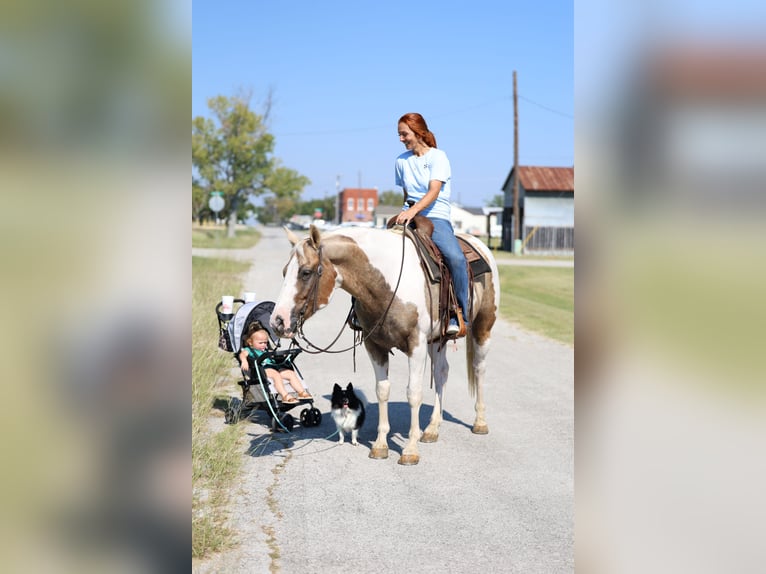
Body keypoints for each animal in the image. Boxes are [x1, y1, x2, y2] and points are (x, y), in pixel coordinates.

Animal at [270, 224, 499, 465]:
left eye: (305, 272)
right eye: (284, 272)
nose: (277, 321)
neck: (386, 284)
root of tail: (480, 245)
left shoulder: (416, 345)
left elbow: (413, 393)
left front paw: (410, 449)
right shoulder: (375, 345)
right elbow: (382, 390)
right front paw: (380, 445)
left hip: (483, 327)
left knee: (478, 368)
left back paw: (480, 422)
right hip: (438, 339)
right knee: (441, 373)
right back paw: (432, 428)